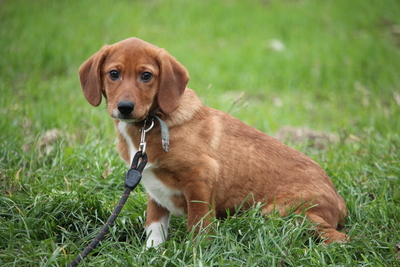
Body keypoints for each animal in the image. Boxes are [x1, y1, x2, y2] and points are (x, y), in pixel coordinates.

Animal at [78, 37, 346, 247]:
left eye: (146, 76)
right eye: (114, 74)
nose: (124, 107)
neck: (150, 124)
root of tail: (339, 199)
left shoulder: (200, 176)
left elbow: (198, 224)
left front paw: (196, 253)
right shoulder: (151, 185)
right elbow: (154, 227)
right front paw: (152, 253)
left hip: (280, 212)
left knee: (337, 237)